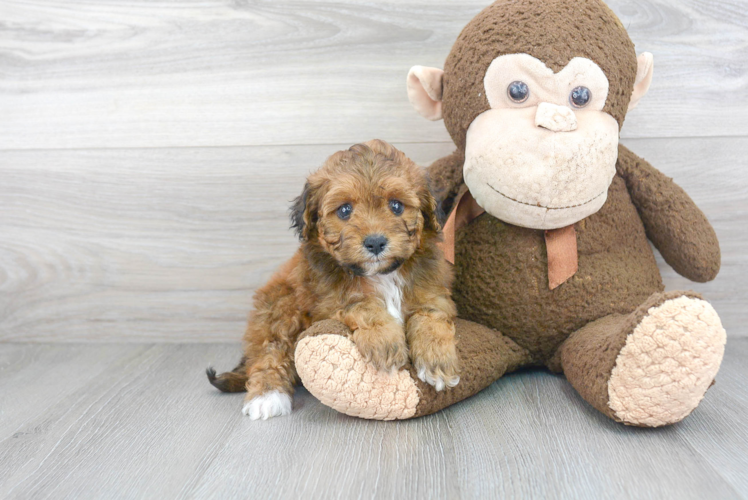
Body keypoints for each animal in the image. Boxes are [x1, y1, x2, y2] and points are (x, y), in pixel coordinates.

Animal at [207, 138, 458, 418]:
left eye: (396, 206)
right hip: (280, 306)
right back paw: (267, 396)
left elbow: (430, 318)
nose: (375, 242)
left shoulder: (432, 293)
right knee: (269, 352)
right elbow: (363, 306)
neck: (382, 275)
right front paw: (385, 341)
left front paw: (437, 360)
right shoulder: (328, 301)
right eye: (345, 210)